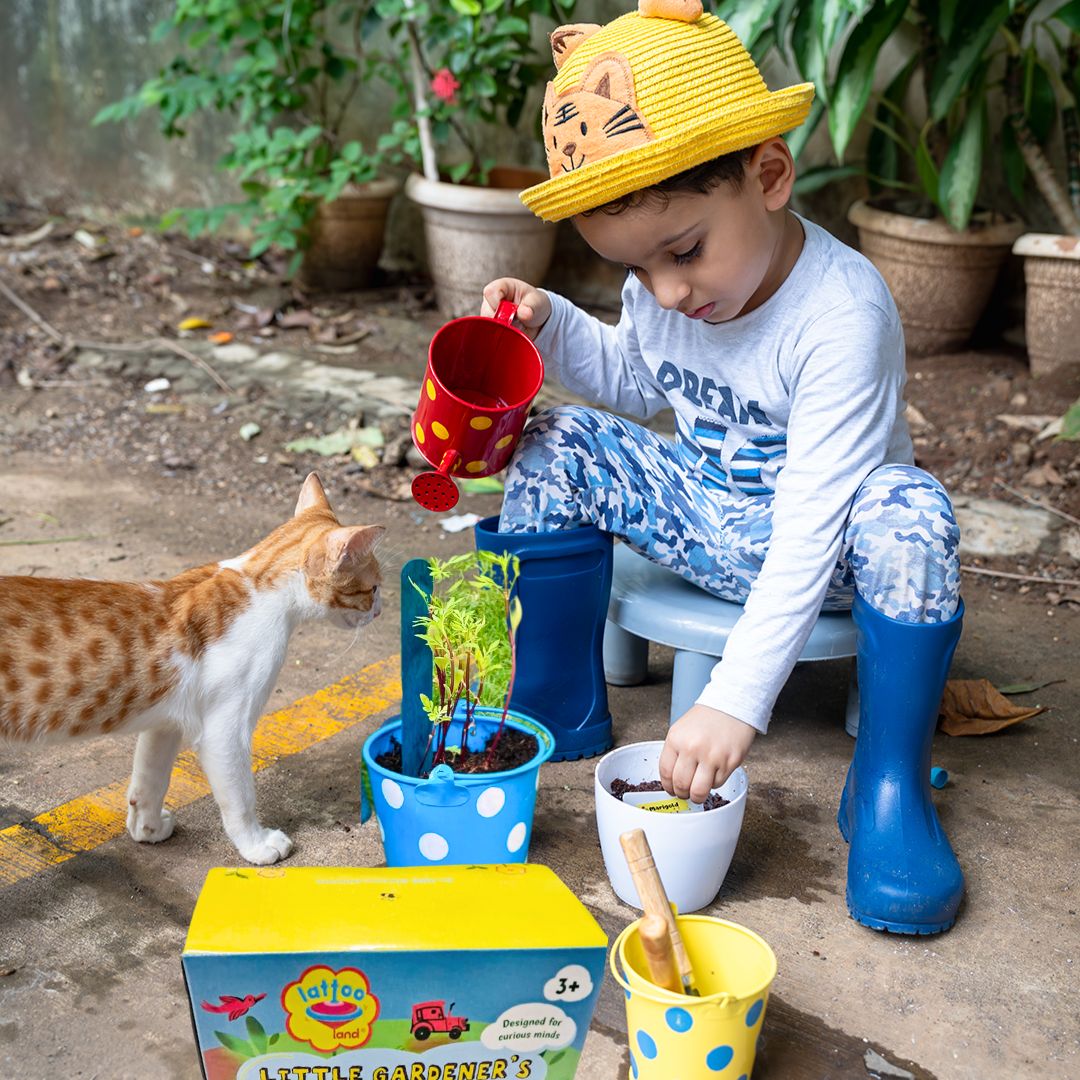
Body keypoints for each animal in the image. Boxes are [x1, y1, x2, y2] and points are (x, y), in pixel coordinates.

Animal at [0, 477, 386, 864]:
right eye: (373, 588)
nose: (380, 611)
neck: (257, 583)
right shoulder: (225, 730)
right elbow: (241, 797)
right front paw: (256, 844)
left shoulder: (165, 721)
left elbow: (150, 779)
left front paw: (147, 828)